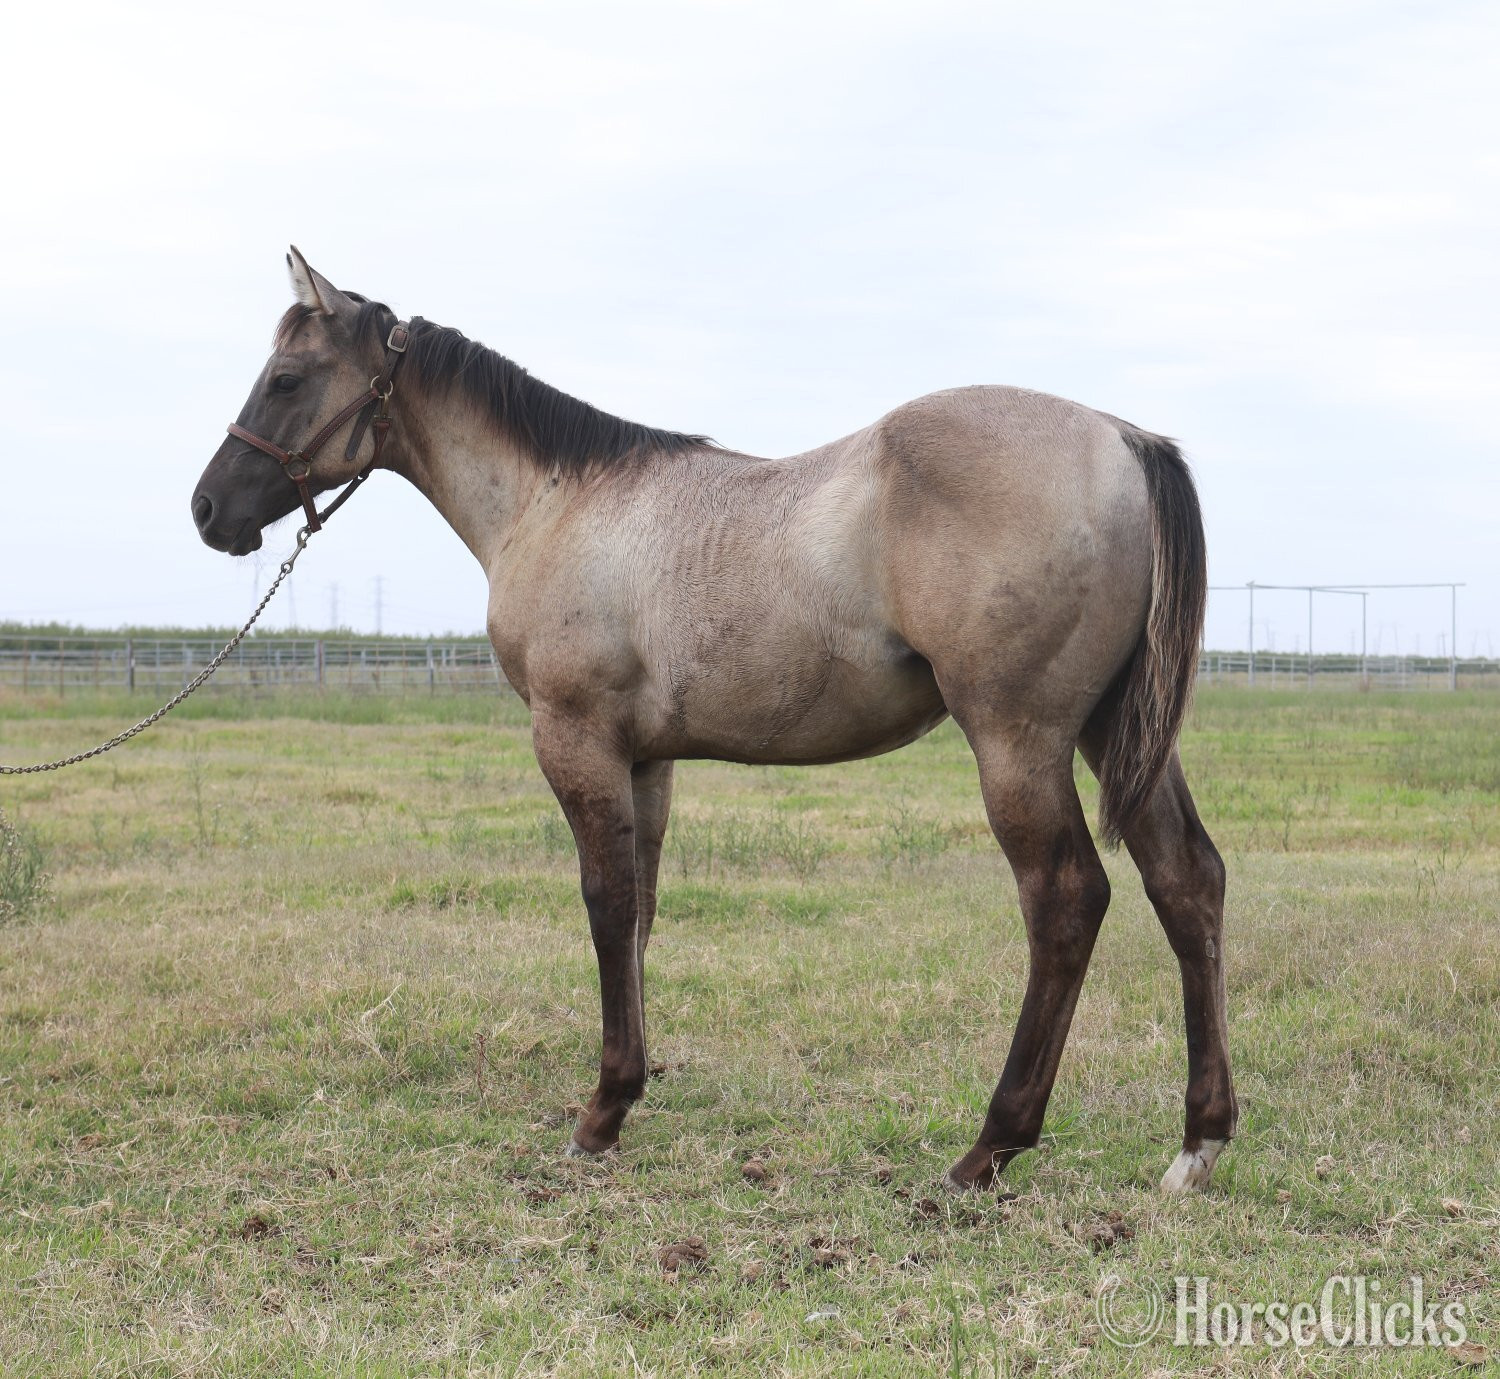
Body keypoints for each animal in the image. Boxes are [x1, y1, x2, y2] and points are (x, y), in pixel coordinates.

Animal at [191, 248, 1237, 1194]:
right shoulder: (644, 762)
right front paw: (627, 1091)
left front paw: (599, 1115)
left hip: (1017, 742)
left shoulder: (576, 743)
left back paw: (990, 1148)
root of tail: (1122, 437)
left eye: (286, 378)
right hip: (1115, 736)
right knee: (1187, 881)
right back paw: (1197, 1142)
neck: (560, 501)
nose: (208, 509)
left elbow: (605, 904)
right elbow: (641, 911)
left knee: (1066, 899)